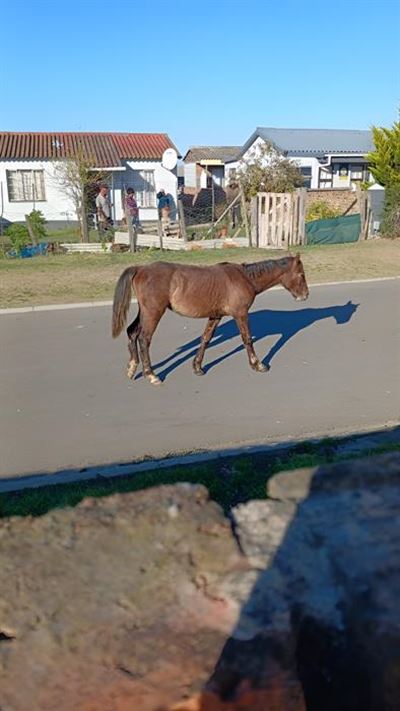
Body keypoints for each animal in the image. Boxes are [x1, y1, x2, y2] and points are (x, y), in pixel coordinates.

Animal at [111, 255, 309, 385]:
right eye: (301, 275)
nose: (305, 295)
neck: (245, 278)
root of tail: (140, 268)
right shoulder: (240, 314)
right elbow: (247, 339)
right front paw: (257, 364)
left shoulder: (216, 315)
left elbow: (205, 339)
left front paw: (197, 366)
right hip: (153, 312)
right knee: (144, 339)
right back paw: (150, 374)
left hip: (145, 312)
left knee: (132, 332)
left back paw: (132, 367)